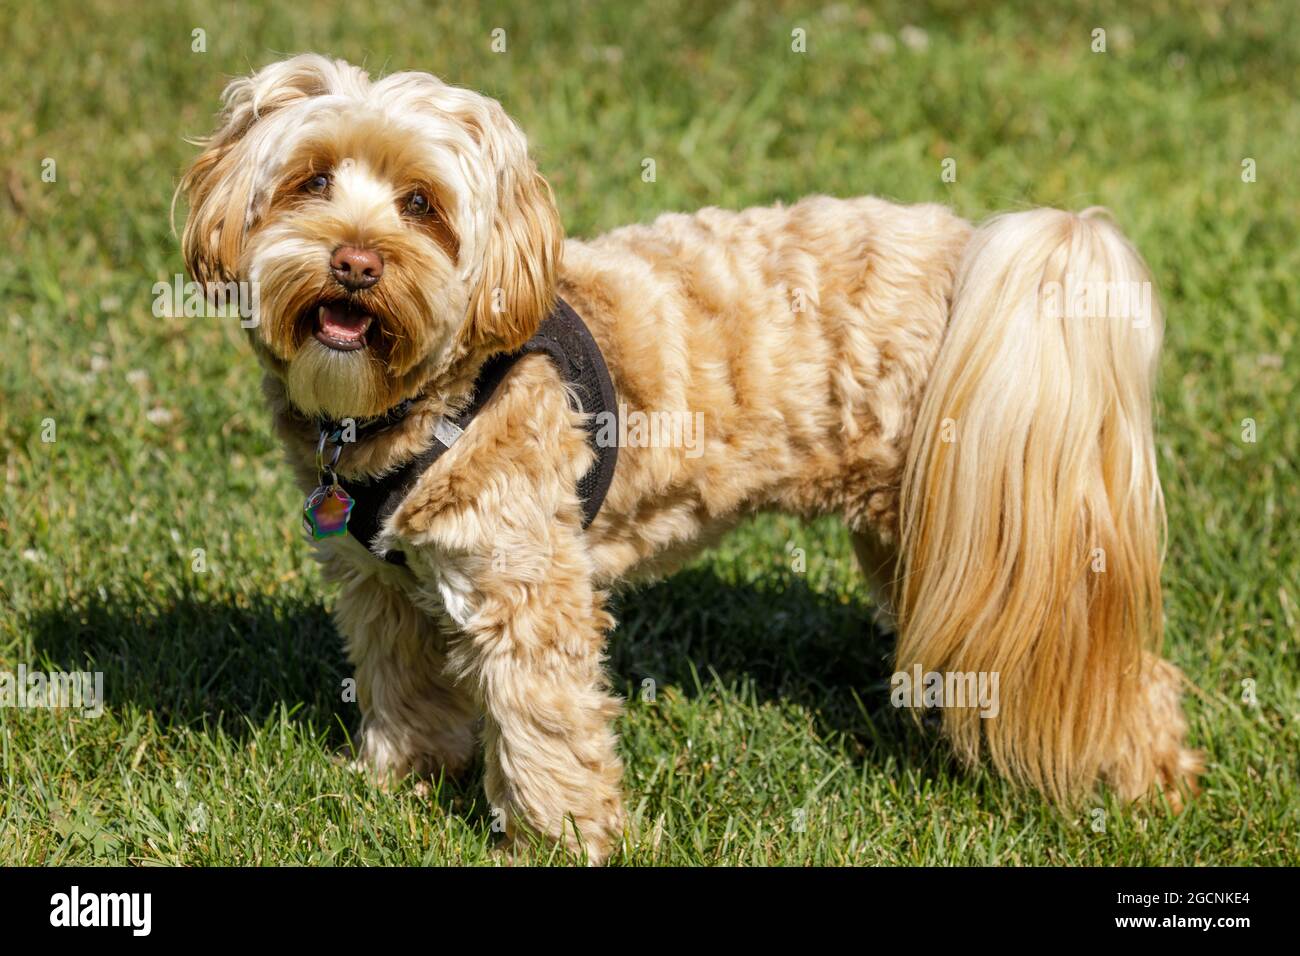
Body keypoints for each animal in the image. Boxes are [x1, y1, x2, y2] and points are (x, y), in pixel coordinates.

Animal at [180, 54, 1196, 868]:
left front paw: (560, 841)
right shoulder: (378, 586)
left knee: (1117, 670)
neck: (425, 399)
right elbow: (402, 686)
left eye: (422, 205)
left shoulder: (527, 591)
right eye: (310, 182)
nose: (354, 262)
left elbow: (548, 729)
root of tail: (977, 250)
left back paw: (1150, 786)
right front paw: (396, 782)